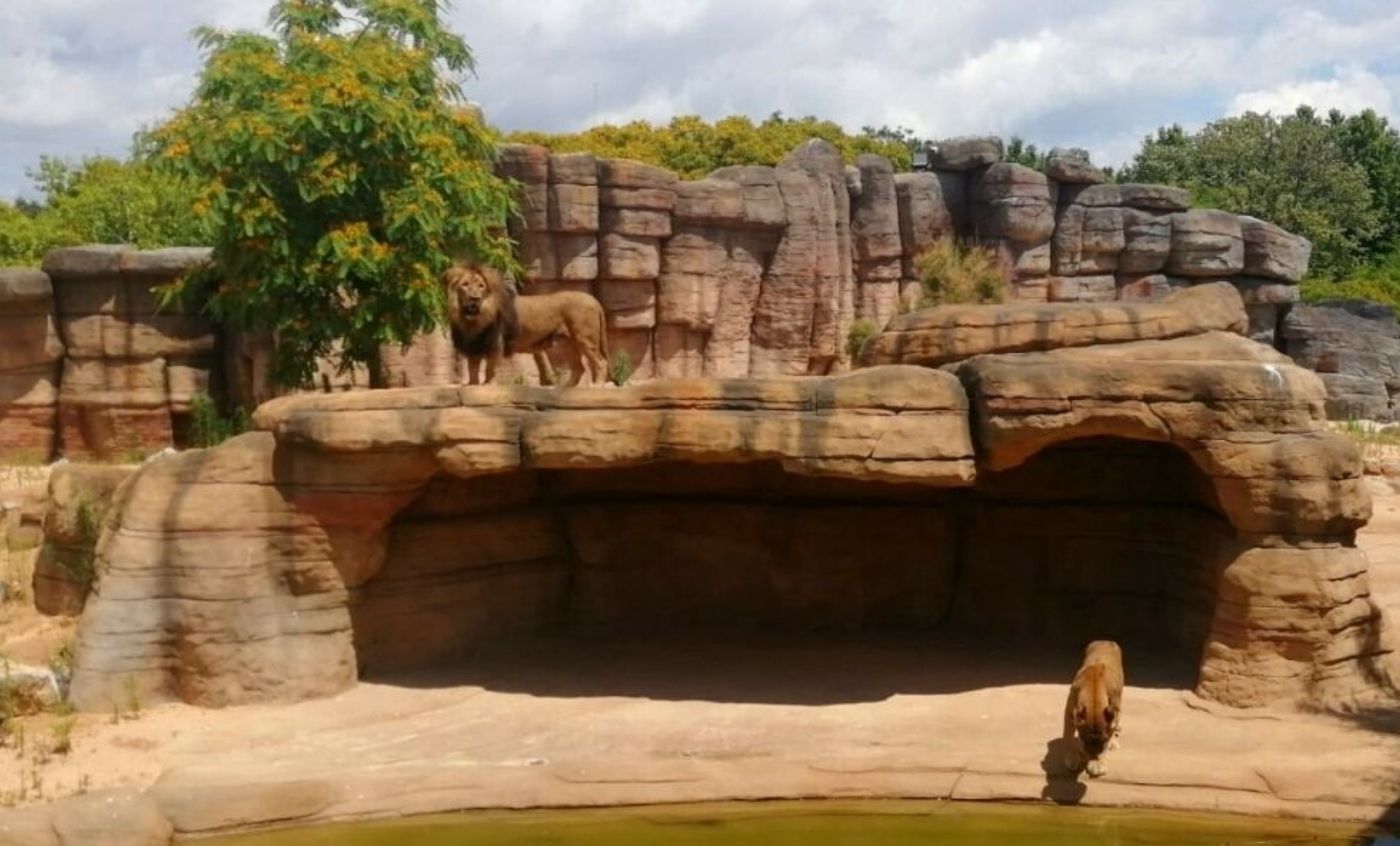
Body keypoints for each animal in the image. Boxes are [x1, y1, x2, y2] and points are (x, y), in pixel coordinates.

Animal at [439, 263, 610, 389]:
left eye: (481, 286)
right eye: (465, 285)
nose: (474, 298)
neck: (472, 319)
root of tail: (594, 300)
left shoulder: (495, 343)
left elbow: (490, 367)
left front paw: (488, 385)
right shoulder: (473, 344)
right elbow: (472, 367)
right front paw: (472, 385)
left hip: (584, 338)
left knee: (600, 362)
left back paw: (597, 386)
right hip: (567, 343)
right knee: (579, 368)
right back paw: (564, 388)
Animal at [1058, 641, 1125, 778]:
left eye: (1104, 740)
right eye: (1085, 739)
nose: (1093, 756)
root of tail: (1105, 641)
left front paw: (1098, 763)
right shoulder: (1069, 712)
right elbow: (1068, 736)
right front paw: (1072, 757)